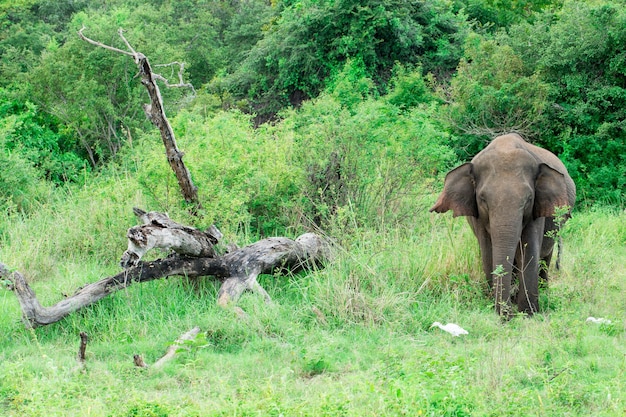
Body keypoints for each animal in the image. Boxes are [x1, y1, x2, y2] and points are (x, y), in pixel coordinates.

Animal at [428, 133, 576, 316]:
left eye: (528, 199)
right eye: (483, 199)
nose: (507, 315)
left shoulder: (537, 208)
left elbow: (529, 251)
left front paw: (528, 314)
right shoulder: (478, 216)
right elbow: (488, 253)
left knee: (545, 256)